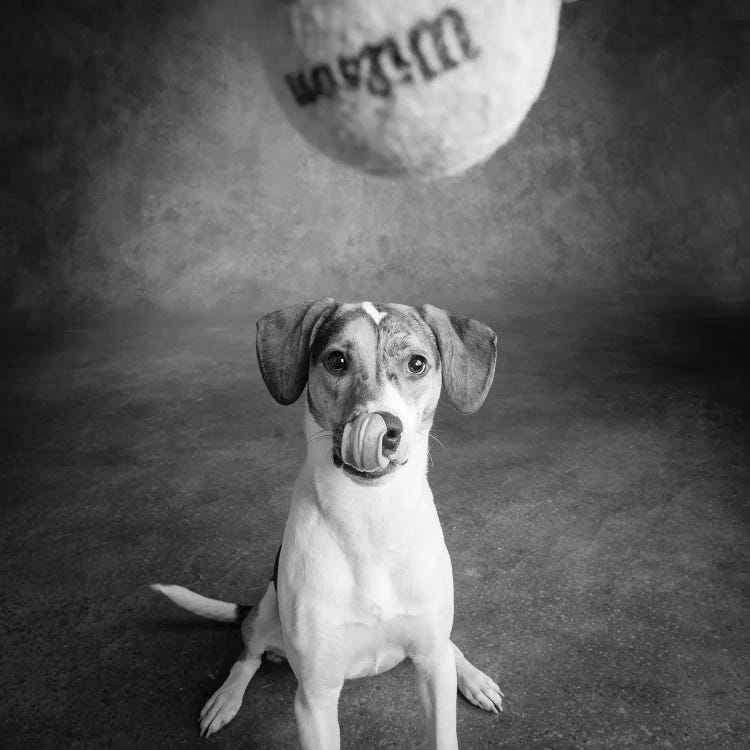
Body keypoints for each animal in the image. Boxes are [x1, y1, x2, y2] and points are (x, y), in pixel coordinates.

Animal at [151, 302, 506, 750]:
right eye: (337, 360)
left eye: (417, 364)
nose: (385, 430)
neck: (371, 517)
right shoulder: (315, 696)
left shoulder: (430, 666)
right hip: (267, 610)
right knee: (248, 654)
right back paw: (226, 699)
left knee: (448, 647)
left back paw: (472, 677)